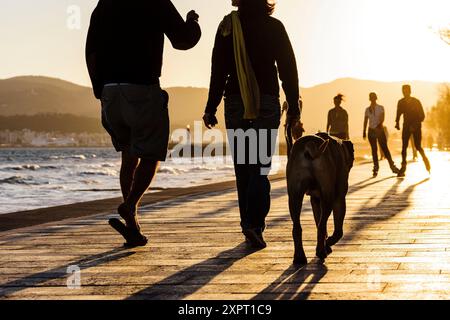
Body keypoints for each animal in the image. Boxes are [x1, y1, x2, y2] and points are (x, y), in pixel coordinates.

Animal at [286, 132, 354, 264]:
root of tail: (309, 145)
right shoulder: (339, 198)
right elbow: (338, 230)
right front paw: (329, 242)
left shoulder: (315, 200)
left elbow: (318, 220)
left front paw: (326, 244)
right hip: (328, 196)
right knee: (322, 225)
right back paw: (321, 251)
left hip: (294, 196)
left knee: (298, 227)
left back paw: (300, 257)